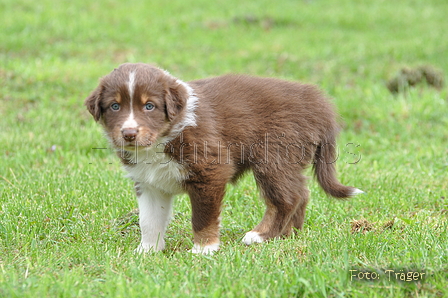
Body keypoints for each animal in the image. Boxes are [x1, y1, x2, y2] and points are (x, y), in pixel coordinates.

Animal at [85, 62, 364, 254]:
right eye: (115, 106)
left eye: (149, 106)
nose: (129, 133)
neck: (164, 138)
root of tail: (319, 103)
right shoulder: (150, 183)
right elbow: (149, 219)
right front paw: (147, 251)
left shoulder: (210, 171)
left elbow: (203, 216)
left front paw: (203, 249)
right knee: (302, 193)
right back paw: (288, 235)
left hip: (274, 157)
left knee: (288, 197)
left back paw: (260, 235)